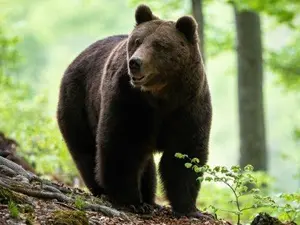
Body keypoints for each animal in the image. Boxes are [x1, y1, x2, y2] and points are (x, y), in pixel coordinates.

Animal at [56, 3, 211, 218]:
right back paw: (105, 191)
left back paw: (149, 199)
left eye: (160, 45)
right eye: (138, 41)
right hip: (78, 102)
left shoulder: (188, 106)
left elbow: (184, 153)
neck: (161, 95)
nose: (135, 62)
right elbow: (123, 145)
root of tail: (76, 58)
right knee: (85, 150)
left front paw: (188, 208)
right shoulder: (129, 101)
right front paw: (130, 200)